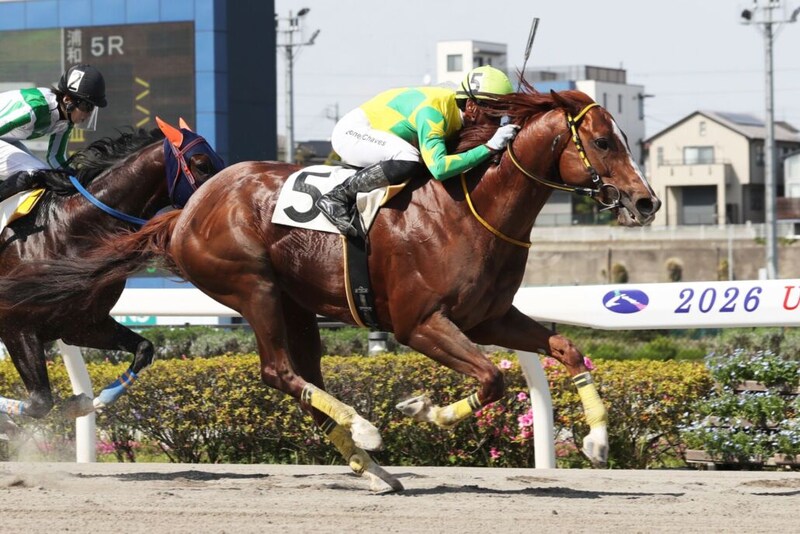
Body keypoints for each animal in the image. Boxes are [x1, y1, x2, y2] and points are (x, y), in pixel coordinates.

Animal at [0, 118, 225, 426]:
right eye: (202, 165)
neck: (66, 233)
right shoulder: (16, 326)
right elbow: (39, 403)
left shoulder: (81, 324)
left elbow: (144, 349)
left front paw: (88, 402)